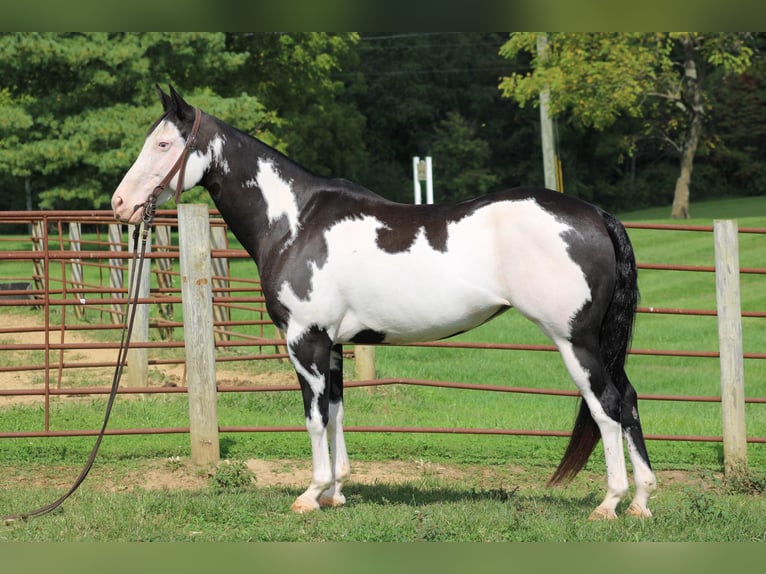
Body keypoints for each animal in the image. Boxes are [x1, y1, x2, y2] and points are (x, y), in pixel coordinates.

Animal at [111, 86, 656, 520]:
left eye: (163, 144)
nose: (120, 204)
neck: (295, 222)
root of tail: (596, 215)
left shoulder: (305, 341)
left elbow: (313, 417)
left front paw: (310, 495)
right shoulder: (331, 345)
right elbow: (335, 412)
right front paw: (335, 492)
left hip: (575, 341)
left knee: (607, 407)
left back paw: (610, 503)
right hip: (599, 343)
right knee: (628, 401)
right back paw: (641, 501)